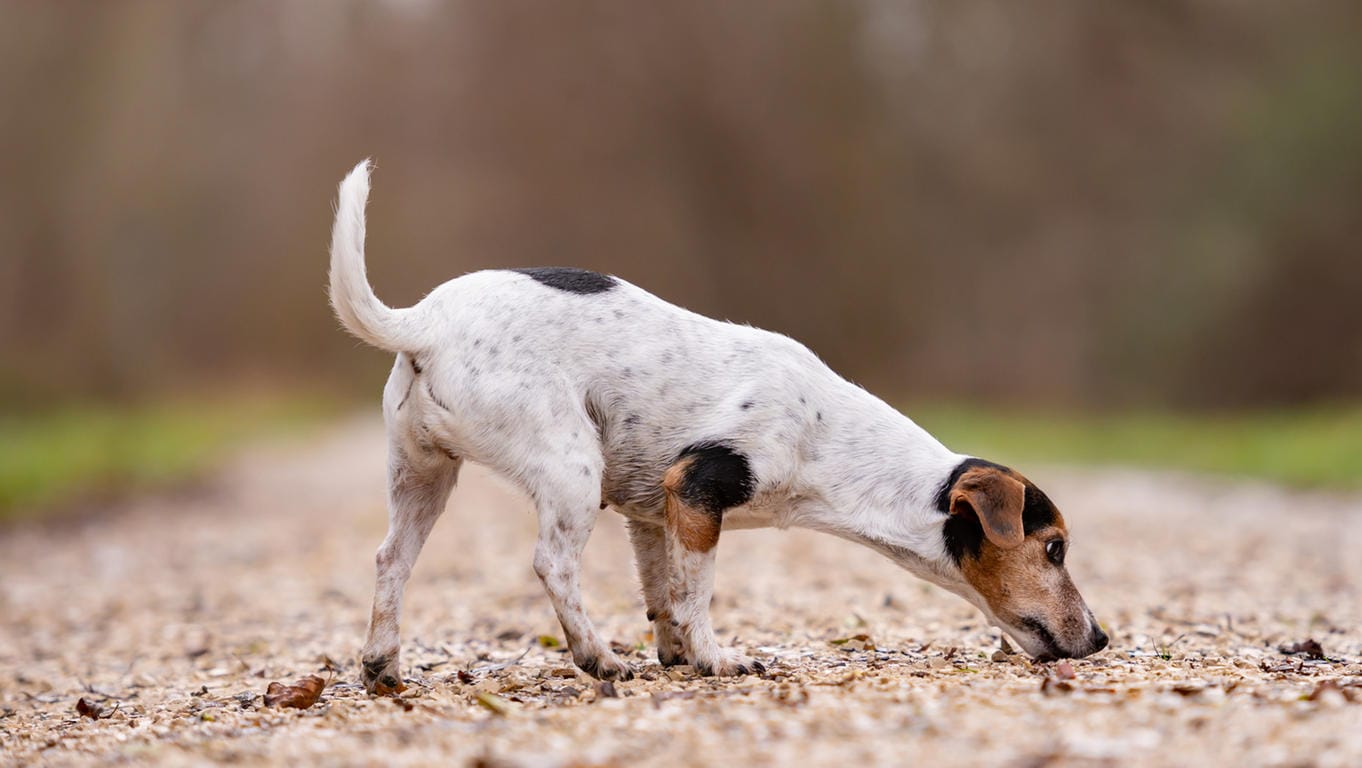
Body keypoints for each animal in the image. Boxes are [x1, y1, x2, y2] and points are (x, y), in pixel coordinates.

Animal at [326, 159, 1105, 691]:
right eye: (1055, 549)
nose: (1100, 638)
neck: (830, 438)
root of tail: (425, 322)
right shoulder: (701, 489)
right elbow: (695, 593)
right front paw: (714, 658)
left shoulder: (650, 512)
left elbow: (662, 594)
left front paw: (676, 654)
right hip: (568, 466)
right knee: (552, 564)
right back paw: (596, 657)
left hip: (422, 476)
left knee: (391, 560)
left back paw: (382, 665)